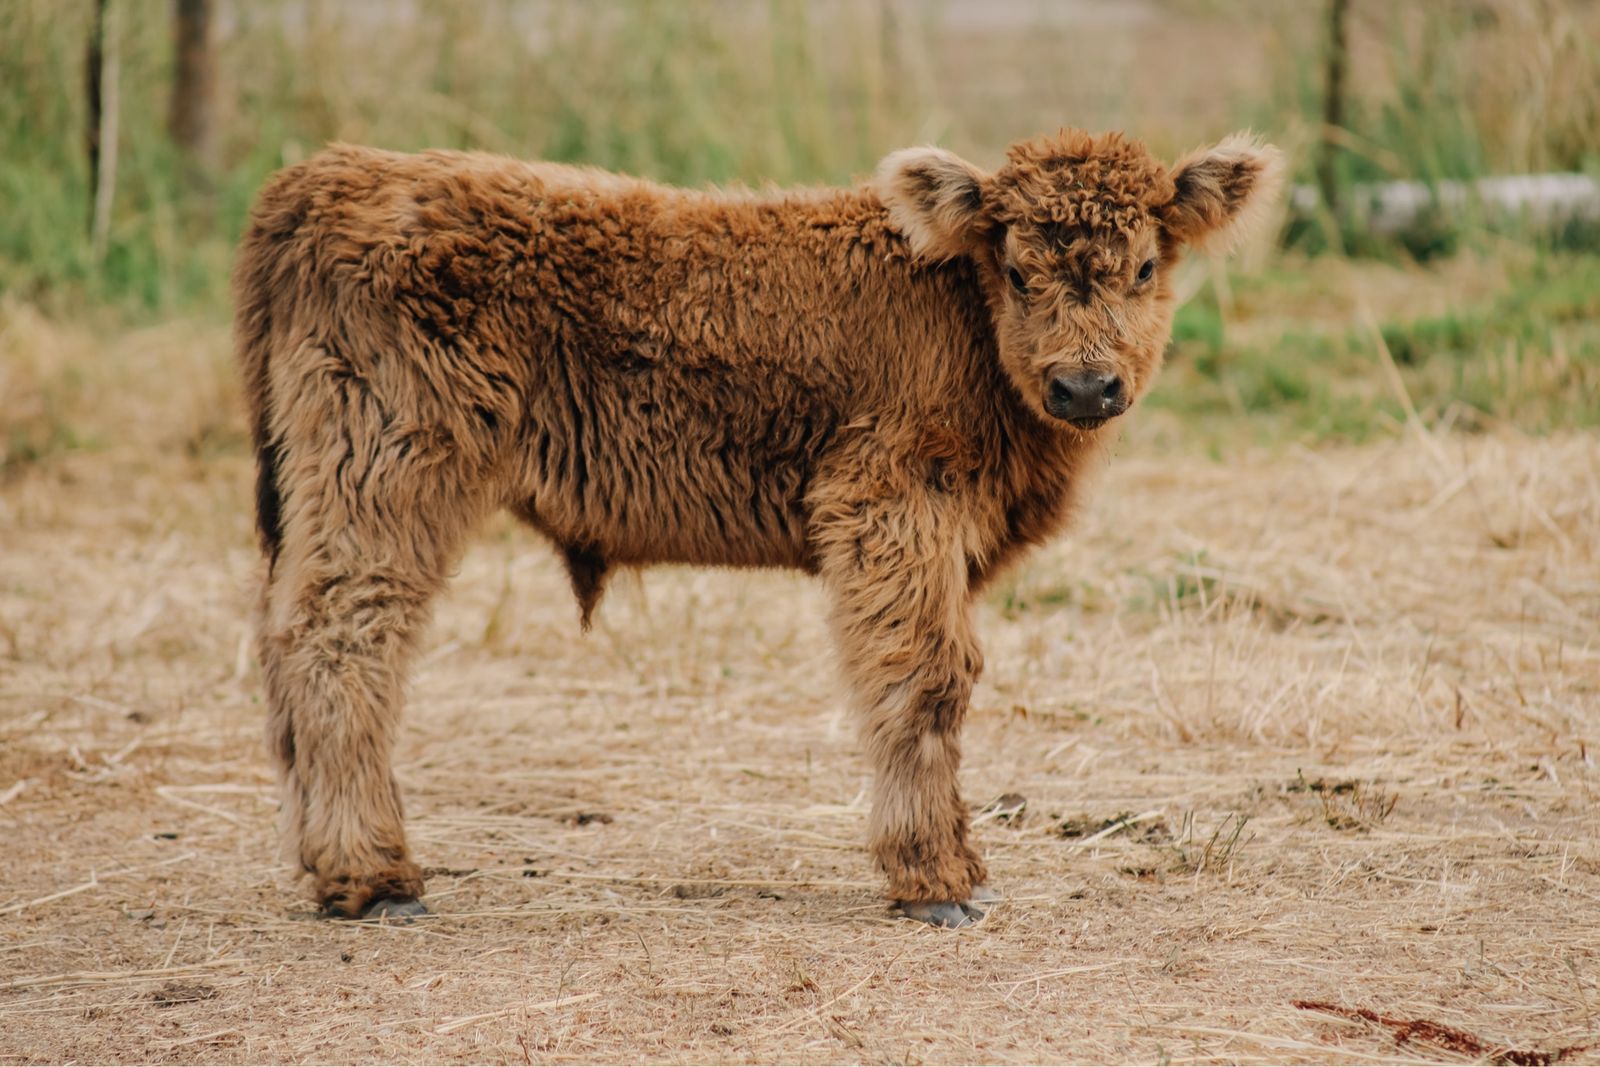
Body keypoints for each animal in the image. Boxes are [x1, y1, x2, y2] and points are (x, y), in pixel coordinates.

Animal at [235, 128, 1282, 927]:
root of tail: (333, 172)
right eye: (1019, 271)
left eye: (1145, 266)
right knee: (341, 639)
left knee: (283, 643)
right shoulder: (890, 509)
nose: (1085, 385)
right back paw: (376, 877)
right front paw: (937, 882)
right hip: (387, 476)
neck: (958, 308)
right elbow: (929, 680)